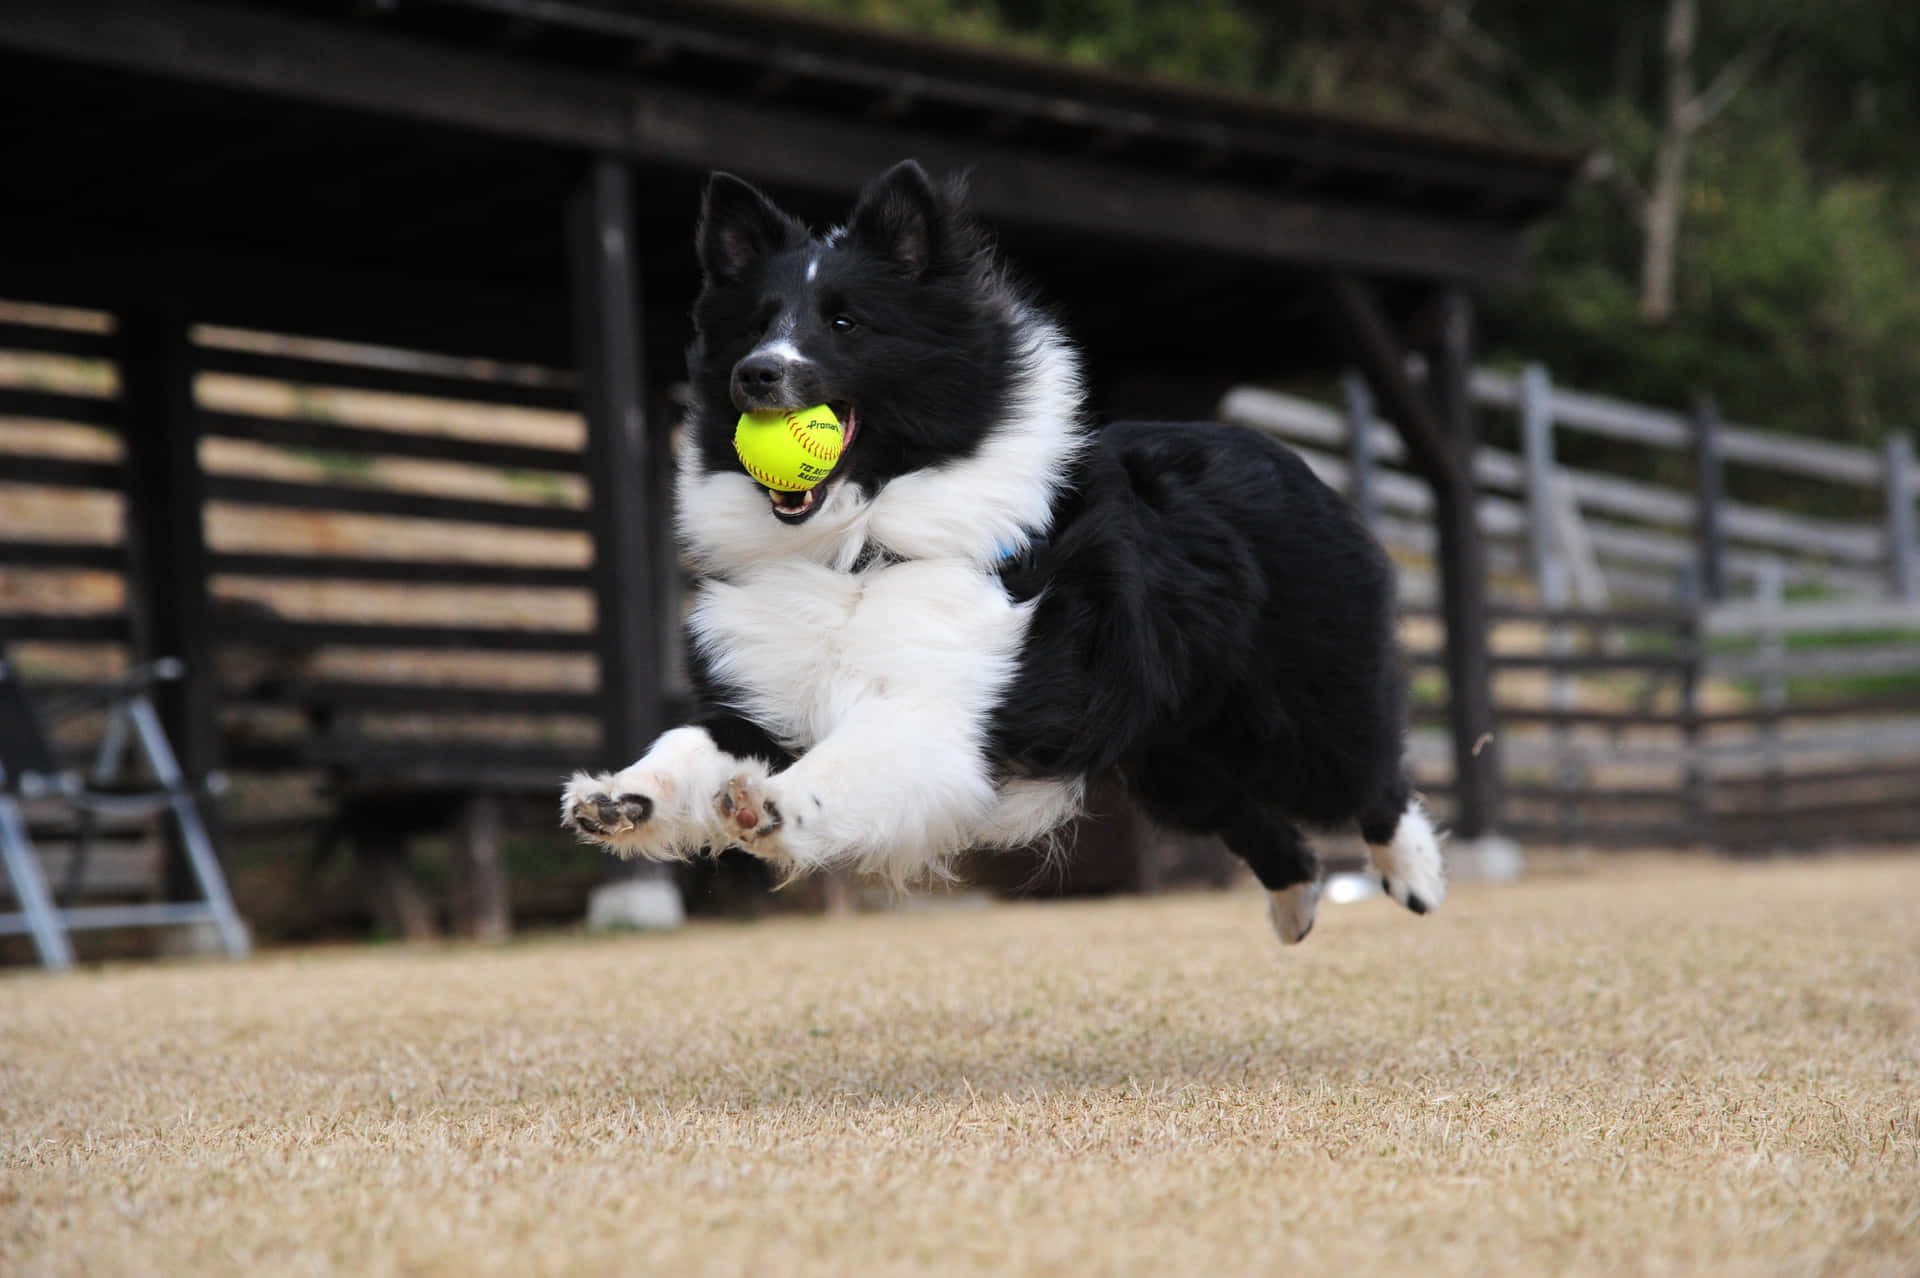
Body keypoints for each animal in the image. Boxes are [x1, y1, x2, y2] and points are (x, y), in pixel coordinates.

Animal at [560, 159, 1443, 940]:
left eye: (845, 323)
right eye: (754, 324)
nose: (755, 374)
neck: (858, 552)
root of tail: (1286, 453)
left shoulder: (940, 711)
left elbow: (848, 762)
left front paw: (768, 806)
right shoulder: (763, 697)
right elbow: (687, 743)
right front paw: (620, 798)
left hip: (1296, 707)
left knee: (1370, 776)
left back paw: (1417, 878)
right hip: (1176, 753)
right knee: (1262, 822)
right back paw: (1296, 909)